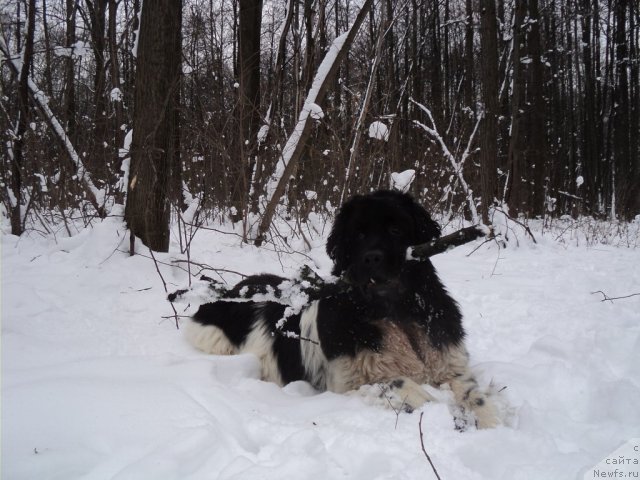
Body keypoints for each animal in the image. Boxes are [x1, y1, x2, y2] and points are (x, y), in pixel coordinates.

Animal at [182, 189, 498, 430]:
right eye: (357, 235)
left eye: (396, 229)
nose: (371, 258)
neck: (394, 312)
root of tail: (230, 289)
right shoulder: (350, 382)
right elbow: (400, 384)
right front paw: (441, 415)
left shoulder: (449, 361)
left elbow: (474, 394)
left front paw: (488, 421)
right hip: (214, 339)